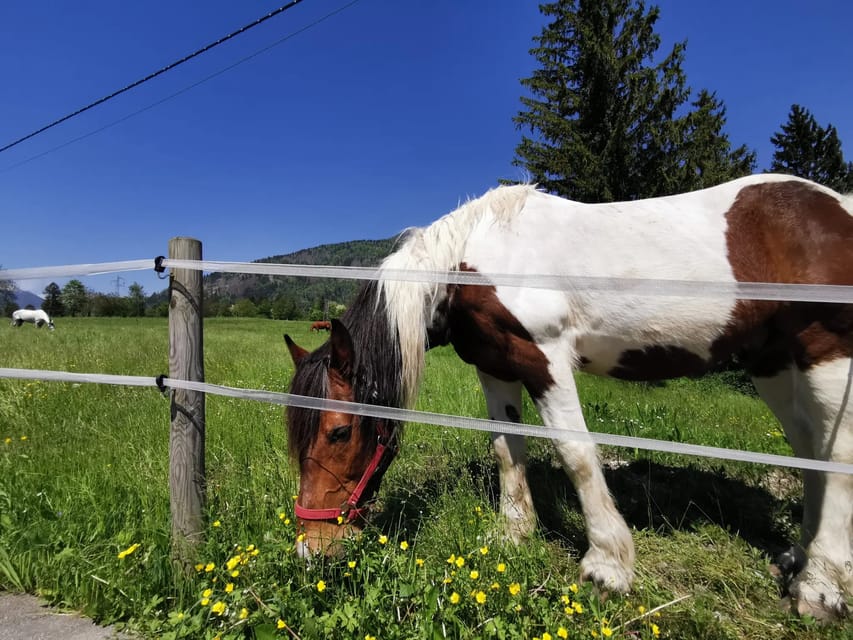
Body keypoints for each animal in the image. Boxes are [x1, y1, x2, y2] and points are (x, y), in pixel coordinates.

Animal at [286, 175, 852, 620]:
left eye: (339, 431)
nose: (312, 551)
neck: (473, 261)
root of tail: (836, 204)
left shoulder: (546, 357)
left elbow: (575, 452)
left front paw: (607, 566)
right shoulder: (496, 367)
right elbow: (506, 449)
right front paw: (513, 535)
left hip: (825, 353)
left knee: (837, 457)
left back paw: (819, 588)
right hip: (773, 364)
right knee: (810, 452)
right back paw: (798, 559)